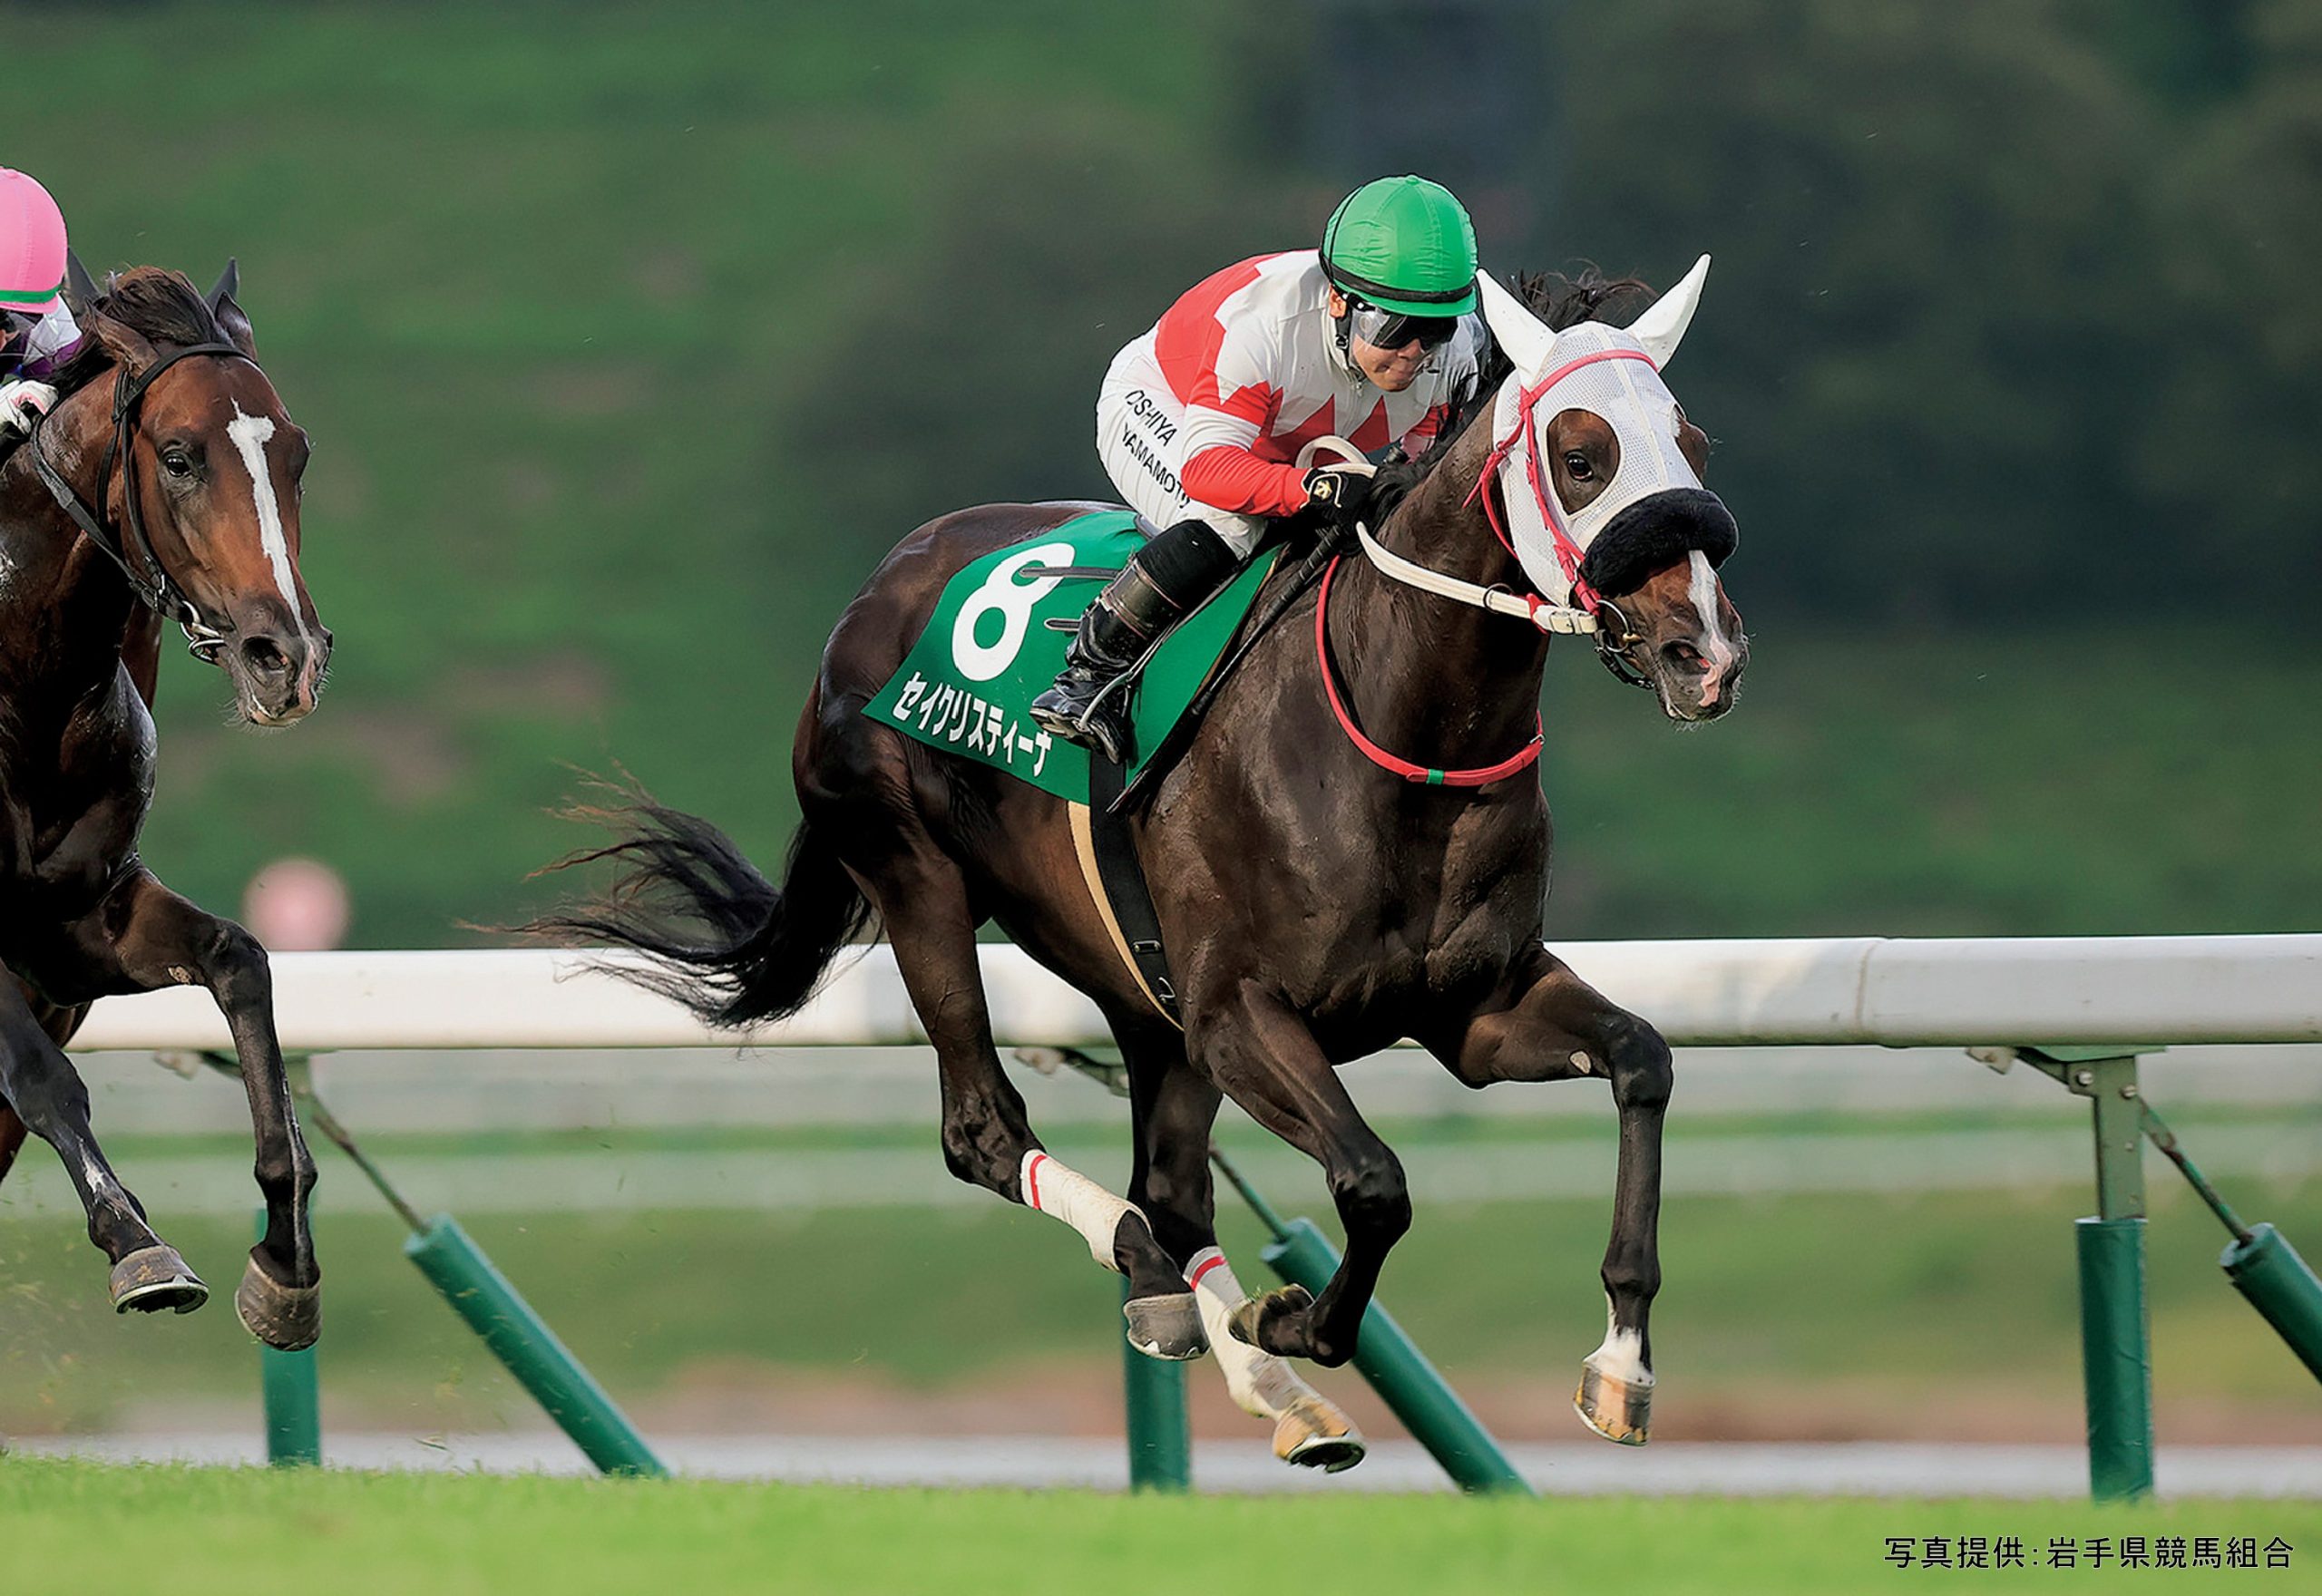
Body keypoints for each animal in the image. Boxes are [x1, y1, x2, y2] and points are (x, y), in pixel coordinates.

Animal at [0, 264, 330, 1351]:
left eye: (296, 456)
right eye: (179, 458)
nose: (285, 656)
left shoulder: (77, 927)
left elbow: (241, 961)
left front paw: (286, 1256)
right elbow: (46, 1080)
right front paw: (138, 1245)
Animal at [539, 263, 1748, 1465]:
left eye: (1694, 442)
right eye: (1581, 455)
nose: (1706, 653)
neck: (1396, 724)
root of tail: (878, 585)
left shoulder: (1472, 1009)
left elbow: (1642, 1059)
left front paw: (1620, 1364)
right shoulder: (1241, 1013)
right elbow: (1373, 1182)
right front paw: (1289, 1316)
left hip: (1140, 987)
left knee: (1169, 1186)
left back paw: (1260, 1375)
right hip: (921, 881)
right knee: (991, 1135)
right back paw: (1158, 1278)